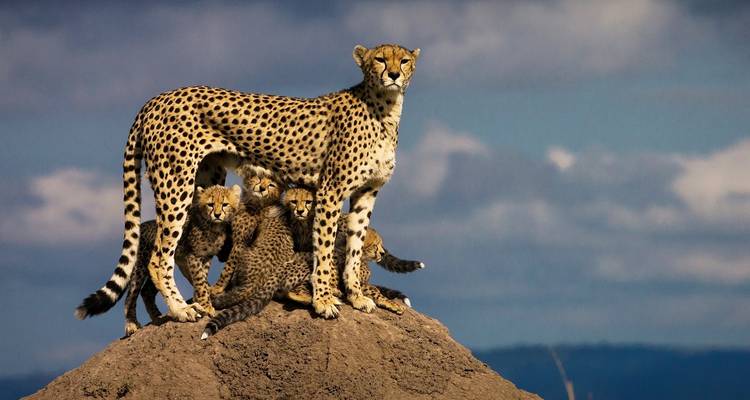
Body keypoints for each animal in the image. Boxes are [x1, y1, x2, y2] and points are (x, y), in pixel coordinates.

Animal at [74, 184, 241, 336]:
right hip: (140, 269)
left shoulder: (206, 258)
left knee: (148, 290)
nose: (217, 214)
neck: (214, 227)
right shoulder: (193, 256)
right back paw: (131, 324)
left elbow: (202, 280)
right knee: (131, 297)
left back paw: (157, 316)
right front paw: (206, 306)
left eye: (225, 204)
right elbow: (200, 281)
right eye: (210, 204)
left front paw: (203, 298)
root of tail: (142, 226)